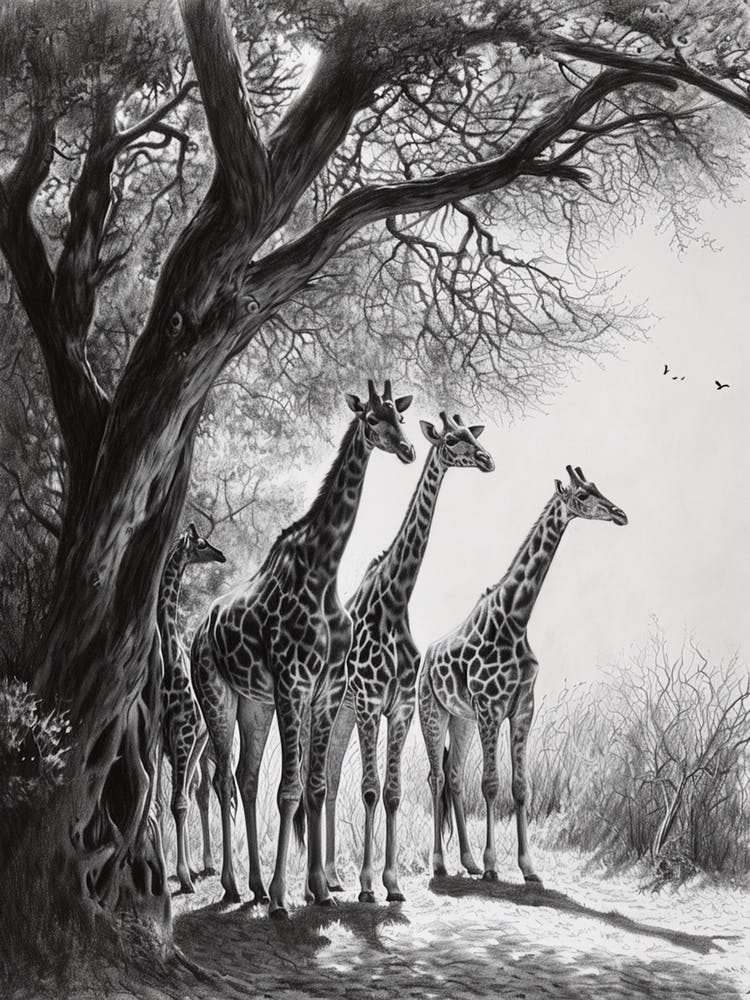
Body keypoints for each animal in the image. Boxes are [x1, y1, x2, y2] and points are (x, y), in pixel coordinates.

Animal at [191, 380, 416, 917]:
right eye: (372, 420)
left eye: (400, 416)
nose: (407, 450)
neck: (323, 570)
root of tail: (198, 629)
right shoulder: (294, 683)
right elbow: (290, 790)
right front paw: (281, 898)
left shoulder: (327, 689)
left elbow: (314, 787)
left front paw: (318, 890)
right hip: (216, 696)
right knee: (223, 780)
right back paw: (234, 885)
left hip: (253, 703)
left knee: (246, 779)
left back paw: (252, 884)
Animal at [324, 412, 495, 903]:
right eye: (453, 439)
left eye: (474, 434)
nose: (486, 459)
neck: (395, 600)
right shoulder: (368, 702)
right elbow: (369, 790)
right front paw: (367, 885)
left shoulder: (397, 707)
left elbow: (393, 791)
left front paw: (392, 884)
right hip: (326, 709)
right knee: (314, 778)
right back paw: (323, 882)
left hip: (342, 713)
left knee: (327, 779)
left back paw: (331, 878)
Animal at [419, 465, 627, 885]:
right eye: (582, 495)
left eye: (597, 487)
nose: (619, 514)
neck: (515, 619)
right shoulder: (490, 708)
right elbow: (490, 785)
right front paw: (493, 865)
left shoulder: (521, 709)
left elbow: (519, 788)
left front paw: (527, 867)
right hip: (433, 712)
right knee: (436, 778)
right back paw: (440, 863)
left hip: (462, 719)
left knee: (452, 775)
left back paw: (465, 861)